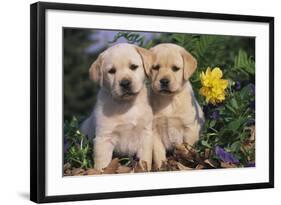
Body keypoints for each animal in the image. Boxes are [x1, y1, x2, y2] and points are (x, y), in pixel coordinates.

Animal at [82, 43, 153, 171]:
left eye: (133, 67)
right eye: (111, 71)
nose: (125, 83)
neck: (126, 105)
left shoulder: (146, 134)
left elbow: (145, 159)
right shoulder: (104, 138)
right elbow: (102, 164)